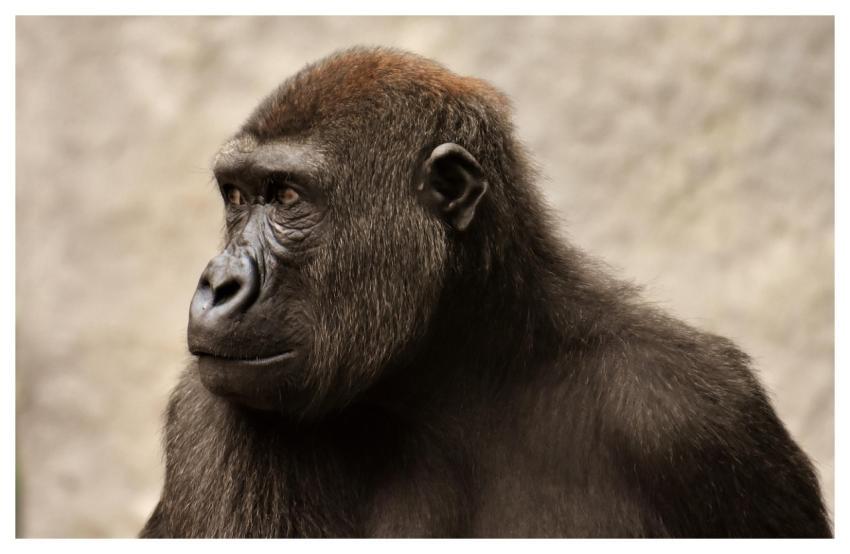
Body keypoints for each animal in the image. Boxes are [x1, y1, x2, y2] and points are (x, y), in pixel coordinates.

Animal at [140, 47, 831, 538]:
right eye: (235, 196)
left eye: (285, 196)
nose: (218, 283)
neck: (456, 372)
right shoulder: (207, 420)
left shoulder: (702, 411)